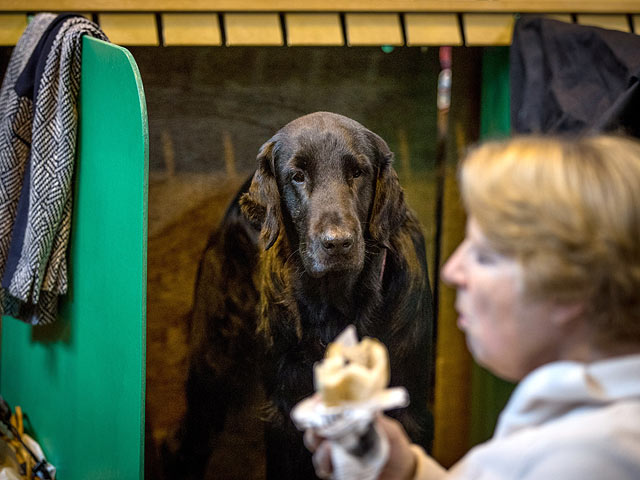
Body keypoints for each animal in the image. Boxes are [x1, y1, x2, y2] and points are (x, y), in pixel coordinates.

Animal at [165, 112, 436, 480]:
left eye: (358, 172)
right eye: (297, 176)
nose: (337, 242)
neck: (335, 308)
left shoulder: (413, 409)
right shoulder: (284, 411)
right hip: (211, 364)